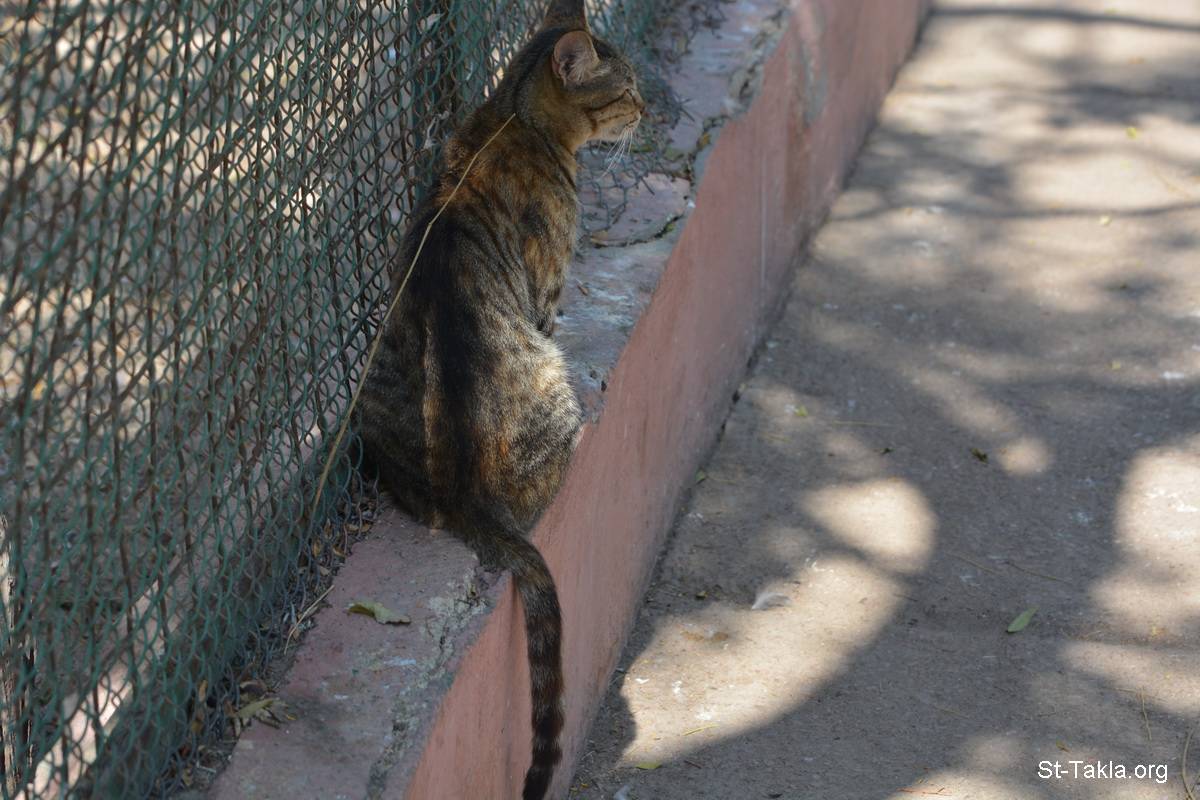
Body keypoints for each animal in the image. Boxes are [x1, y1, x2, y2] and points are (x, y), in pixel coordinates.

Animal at [352, 1, 644, 797]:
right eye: (626, 88)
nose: (649, 107)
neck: (511, 113)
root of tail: (465, 499)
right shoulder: (547, 291)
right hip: (552, 381)